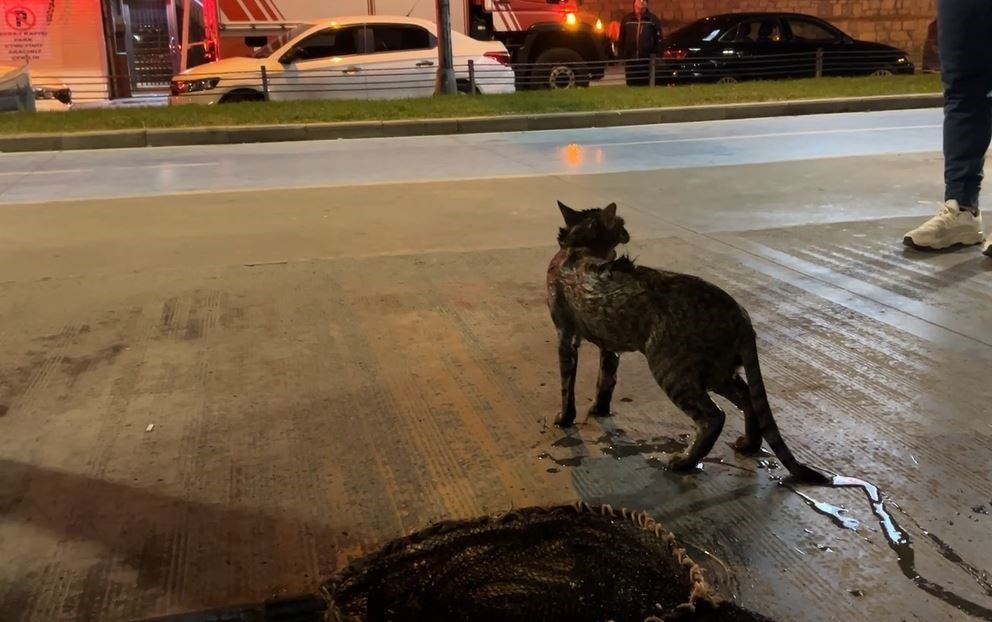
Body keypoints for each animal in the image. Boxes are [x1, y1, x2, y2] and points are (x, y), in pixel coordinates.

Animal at [548, 202, 824, 486]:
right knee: (747, 395)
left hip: (672, 370)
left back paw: (686, 461)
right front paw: (599, 410)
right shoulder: (609, 344)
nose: (626, 231)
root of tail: (740, 314)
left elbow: (567, 385)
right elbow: (605, 380)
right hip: (715, 370)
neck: (581, 248)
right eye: (620, 223)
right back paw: (749, 443)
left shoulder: (565, 335)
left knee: (715, 416)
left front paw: (565, 419)